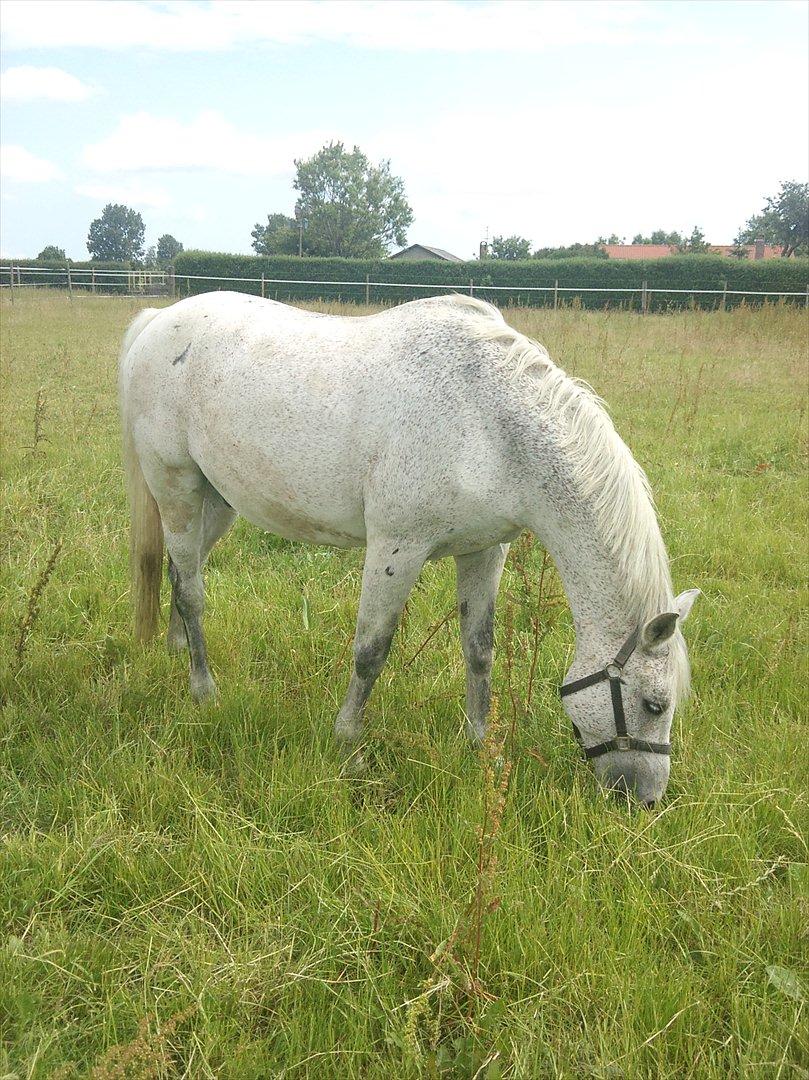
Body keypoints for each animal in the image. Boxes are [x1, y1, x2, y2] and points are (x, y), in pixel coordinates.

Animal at [119, 291, 695, 807]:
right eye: (653, 703)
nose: (648, 800)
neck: (489, 422)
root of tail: (157, 321)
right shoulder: (397, 548)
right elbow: (371, 651)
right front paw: (348, 742)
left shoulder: (484, 552)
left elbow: (478, 650)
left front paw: (480, 745)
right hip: (176, 488)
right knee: (191, 590)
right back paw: (203, 689)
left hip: (216, 502)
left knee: (182, 570)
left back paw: (176, 648)